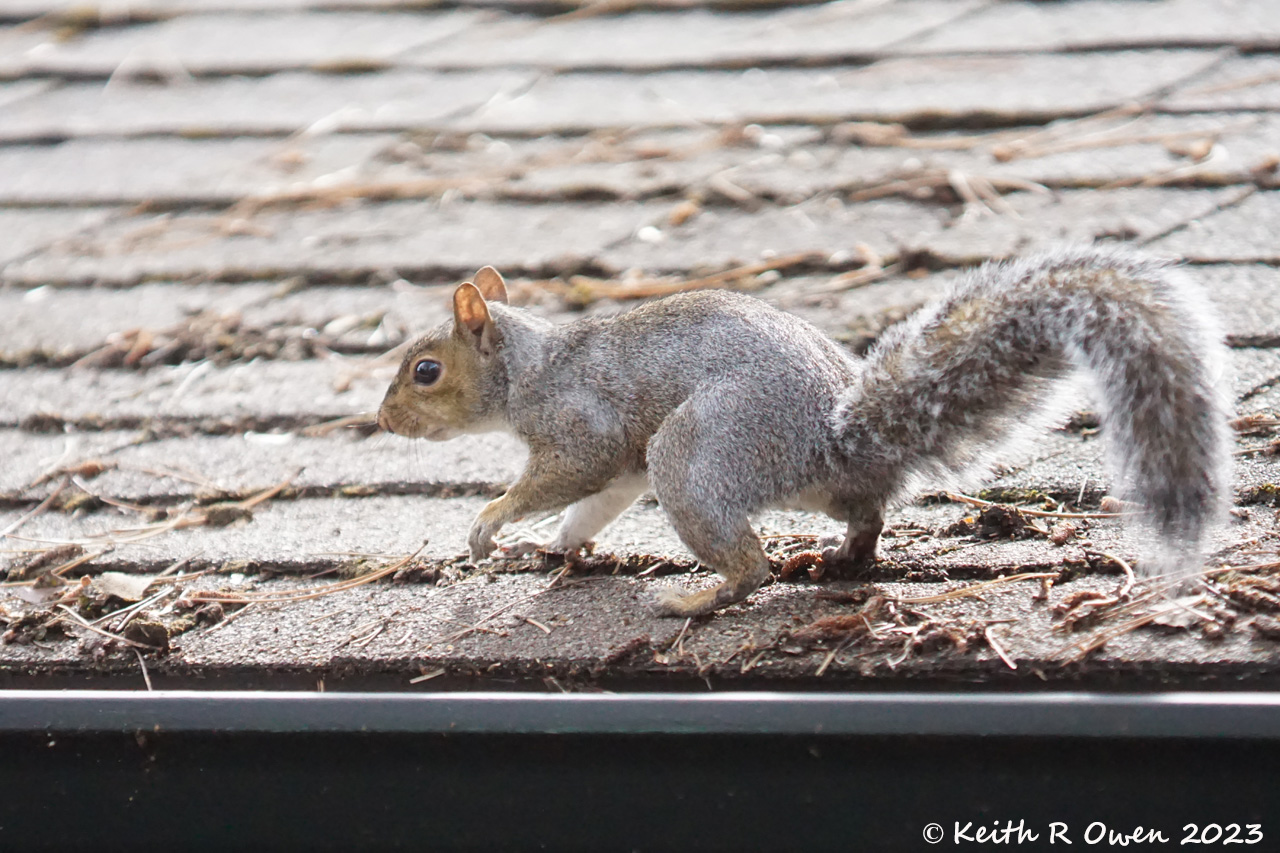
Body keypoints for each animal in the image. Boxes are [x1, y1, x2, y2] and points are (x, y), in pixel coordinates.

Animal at [377, 247, 1231, 617]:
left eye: (425, 370)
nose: (381, 419)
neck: (530, 365)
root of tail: (838, 435)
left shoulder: (581, 423)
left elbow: (569, 474)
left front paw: (490, 524)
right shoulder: (624, 463)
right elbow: (594, 503)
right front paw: (554, 544)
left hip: (695, 450)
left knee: (752, 566)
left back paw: (699, 599)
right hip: (780, 478)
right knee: (866, 513)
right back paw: (843, 559)